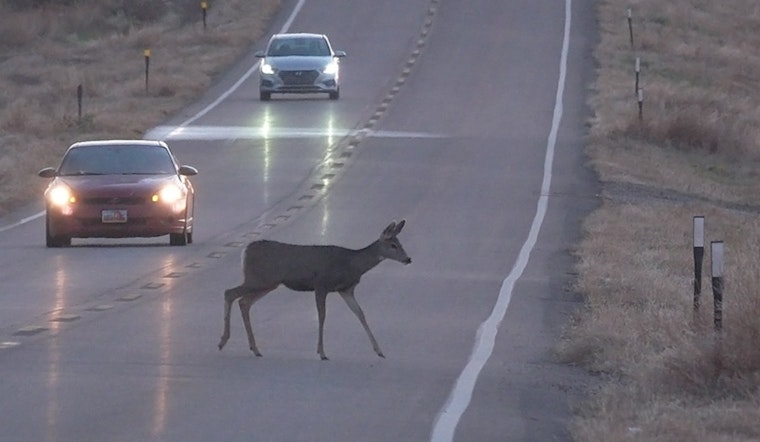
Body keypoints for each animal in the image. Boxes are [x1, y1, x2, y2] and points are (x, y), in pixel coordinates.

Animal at [218, 220, 411, 360]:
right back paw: (223, 341)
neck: (351, 264)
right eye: (393, 245)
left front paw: (379, 350)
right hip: (257, 279)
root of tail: (245, 251)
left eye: (400, 243)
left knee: (244, 302)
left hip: (267, 283)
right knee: (230, 293)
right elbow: (322, 315)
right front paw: (322, 352)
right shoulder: (321, 284)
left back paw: (255, 348)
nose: (408, 259)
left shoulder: (346, 290)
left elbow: (360, 314)